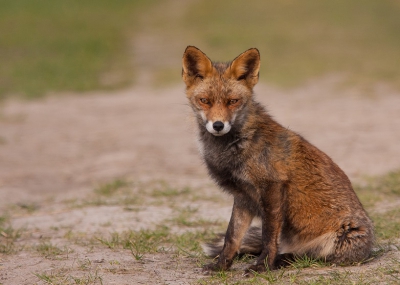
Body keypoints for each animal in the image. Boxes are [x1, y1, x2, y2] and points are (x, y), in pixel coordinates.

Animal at [182, 46, 376, 272]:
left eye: (233, 101)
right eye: (204, 100)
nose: (218, 125)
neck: (235, 147)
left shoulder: (272, 187)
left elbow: (268, 236)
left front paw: (263, 266)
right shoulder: (243, 197)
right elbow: (232, 237)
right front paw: (221, 266)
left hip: (341, 237)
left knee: (309, 256)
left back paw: (280, 261)